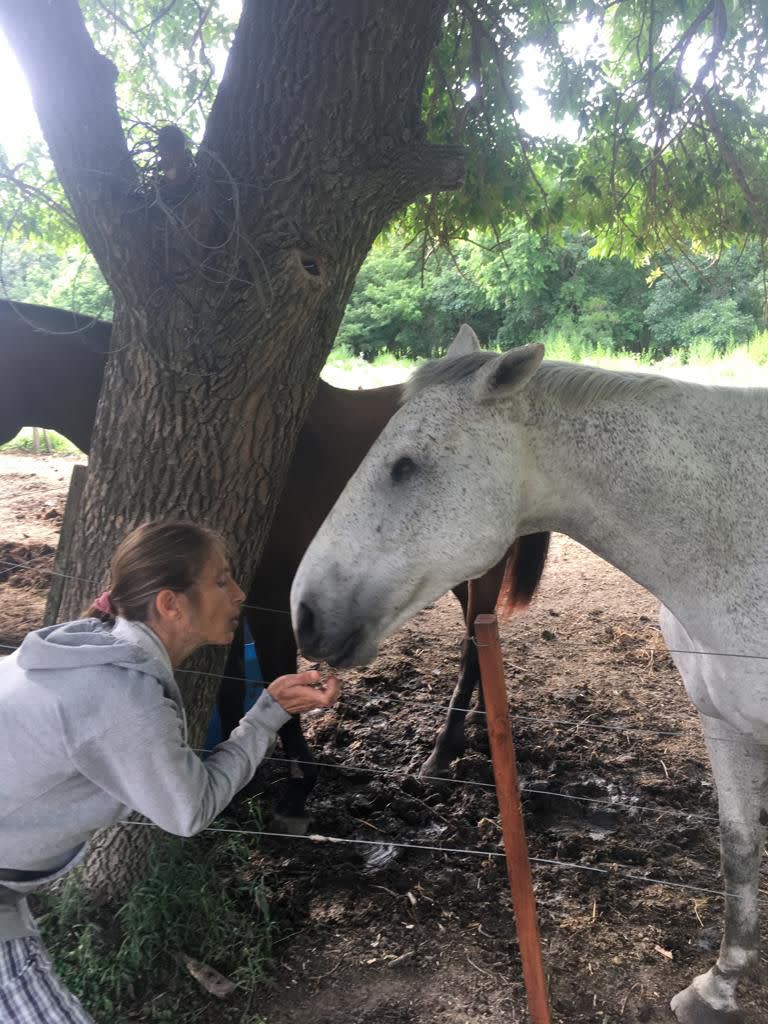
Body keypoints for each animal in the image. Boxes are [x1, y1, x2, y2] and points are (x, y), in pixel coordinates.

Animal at [1, 301, 552, 823]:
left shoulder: (272, 600)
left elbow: (274, 675)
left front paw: (298, 787)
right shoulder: (230, 598)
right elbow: (229, 685)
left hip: (477, 572)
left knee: (470, 649)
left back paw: (442, 753)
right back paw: (480, 722)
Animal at [290, 329, 765, 1024]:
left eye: (405, 467)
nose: (304, 613)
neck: (737, 540)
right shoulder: (724, 723)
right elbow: (739, 850)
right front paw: (719, 986)